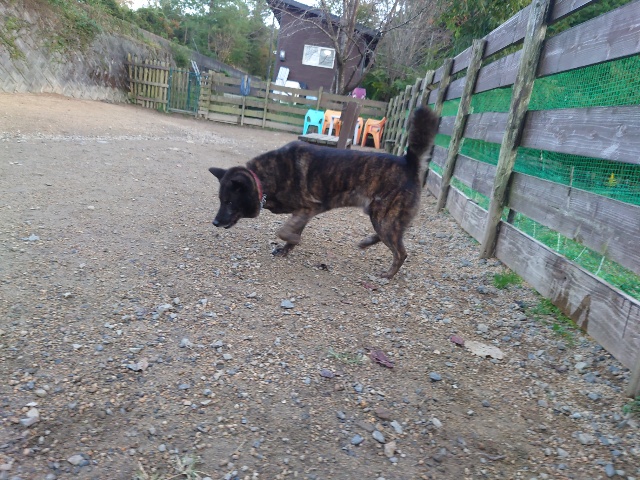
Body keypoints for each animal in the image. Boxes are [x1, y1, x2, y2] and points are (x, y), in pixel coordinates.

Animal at [209, 106, 439, 279]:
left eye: (229, 202)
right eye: (221, 200)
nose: (215, 222)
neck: (263, 178)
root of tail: (408, 163)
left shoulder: (308, 208)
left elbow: (283, 231)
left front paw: (293, 241)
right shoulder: (303, 213)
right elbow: (290, 233)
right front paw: (287, 248)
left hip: (385, 219)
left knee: (401, 252)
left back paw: (388, 275)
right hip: (382, 217)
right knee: (393, 237)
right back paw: (366, 243)